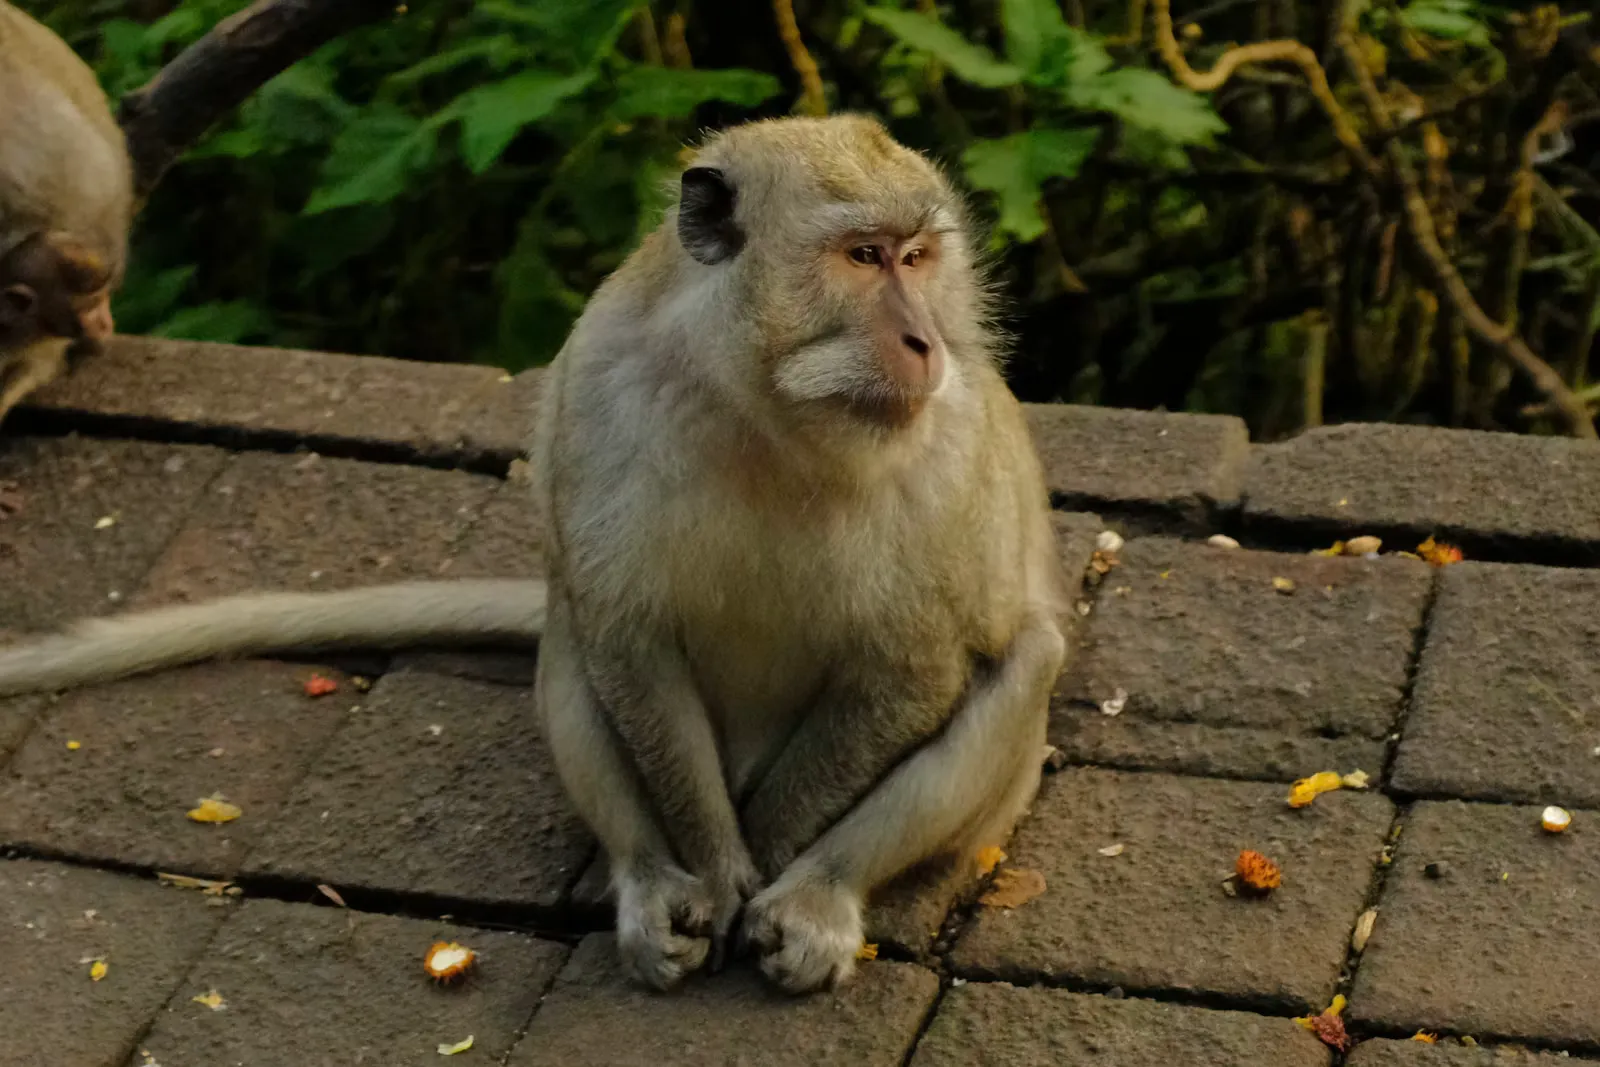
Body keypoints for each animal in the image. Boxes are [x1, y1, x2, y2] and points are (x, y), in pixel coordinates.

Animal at [0, 114, 1069, 996]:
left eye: (920, 257)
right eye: (864, 256)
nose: (924, 341)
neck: (769, 407)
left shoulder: (947, 442)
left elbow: (917, 661)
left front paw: (764, 867)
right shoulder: (600, 379)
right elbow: (625, 630)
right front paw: (714, 868)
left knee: (1023, 660)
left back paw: (822, 893)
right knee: (572, 629)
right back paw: (647, 878)